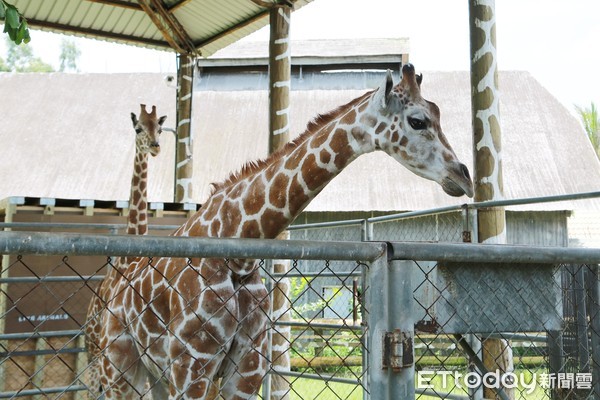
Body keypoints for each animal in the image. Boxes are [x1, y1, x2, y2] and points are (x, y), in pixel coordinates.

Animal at [97, 64, 474, 398]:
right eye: (417, 121)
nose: (464, 177)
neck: (239, 242)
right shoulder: (192, 363)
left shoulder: (246, 367)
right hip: (119, 367)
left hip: (156, 373)